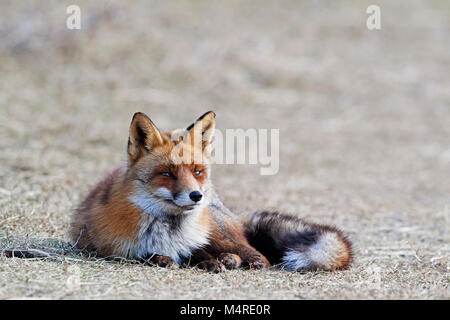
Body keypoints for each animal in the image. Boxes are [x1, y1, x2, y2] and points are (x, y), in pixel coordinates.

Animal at [69, 111, 352, 272]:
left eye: (197, 171)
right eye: (167, 173)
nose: (196, 196)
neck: (169, 230)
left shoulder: (195, 240)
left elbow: (197, 251)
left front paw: (207, 261)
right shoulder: (113, 250)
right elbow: (146, 255)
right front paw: (164, 259)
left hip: (218, 231)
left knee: (256, 253)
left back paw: (234, 259)